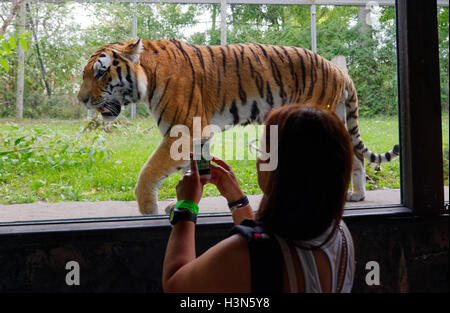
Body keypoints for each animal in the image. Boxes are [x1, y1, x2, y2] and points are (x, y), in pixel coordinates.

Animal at [78, 38, 400, 214]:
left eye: (101, 73)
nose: (81, 100)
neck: (147, 78)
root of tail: (338, 70)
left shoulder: (183, 130)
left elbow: (148, 173)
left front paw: (148, 210)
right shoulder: (193, 135)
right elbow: (193, 170)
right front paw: (183, 200)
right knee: (356, 157)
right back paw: (356, 195)